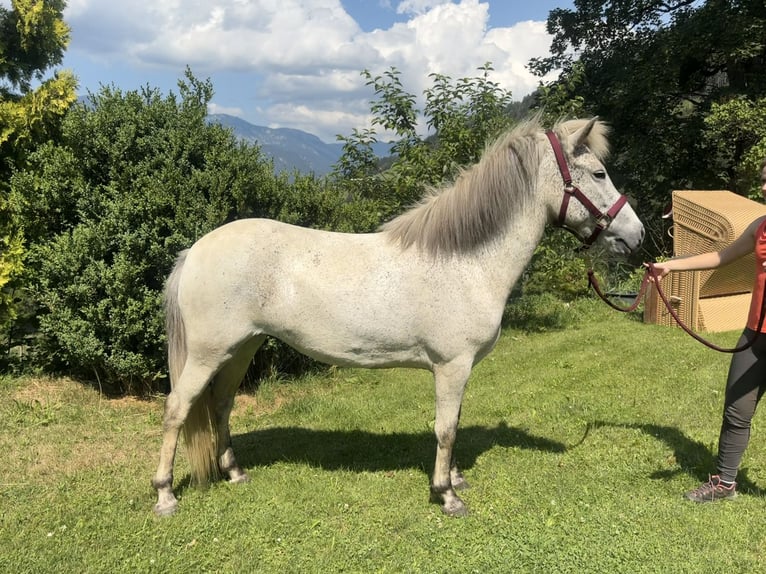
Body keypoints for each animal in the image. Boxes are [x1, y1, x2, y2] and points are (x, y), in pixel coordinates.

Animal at [151, 116, 645, 517]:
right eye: (599, 173)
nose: (636, 235)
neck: (465, 261)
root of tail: (194, 251)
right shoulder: (452, 366)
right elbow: (446, 429)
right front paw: (447, 494)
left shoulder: (457, 370)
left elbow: (454, 422)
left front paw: (456, 478)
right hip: (207, 354)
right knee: (177, 410)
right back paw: (165, 495)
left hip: (241, 348)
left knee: (220, 405)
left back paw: (235, 473)